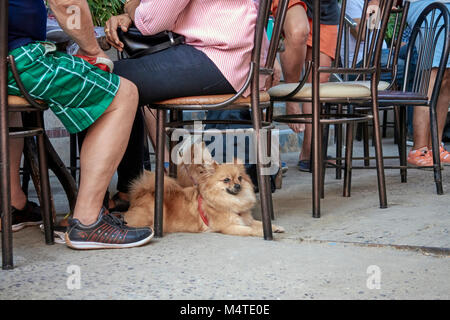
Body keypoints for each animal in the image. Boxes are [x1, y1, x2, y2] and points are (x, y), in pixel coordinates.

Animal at [123, 159, 284, 236]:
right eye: (226, 180)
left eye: (239, 178)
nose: (238, 185)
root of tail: (140, 194)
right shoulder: (229, 227)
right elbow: (251, 229)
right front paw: (262, 232)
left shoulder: (245, 219)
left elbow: (259, 223)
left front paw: (275, 228)